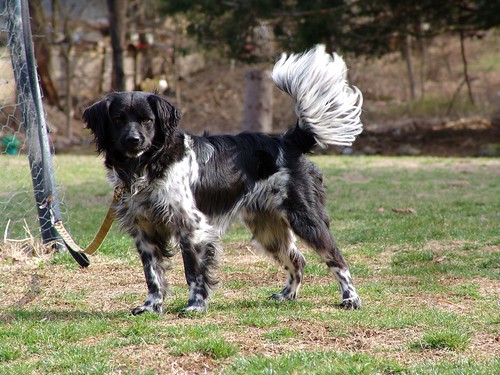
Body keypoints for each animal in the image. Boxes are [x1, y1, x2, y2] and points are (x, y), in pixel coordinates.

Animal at [83, 44, 364, 316]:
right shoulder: (144, 230)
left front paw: (195, 305)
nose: (134, 140)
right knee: (298, 260)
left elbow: (194, 273)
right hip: (267, 228)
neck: (148, 165)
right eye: (118, 119)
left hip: (305, 219)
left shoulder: (192, 227)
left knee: (337, 258)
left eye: (147, 120)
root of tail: (288, 141)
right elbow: (153, 275)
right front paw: (151, 306)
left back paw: (350, 298)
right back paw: (287, 295)